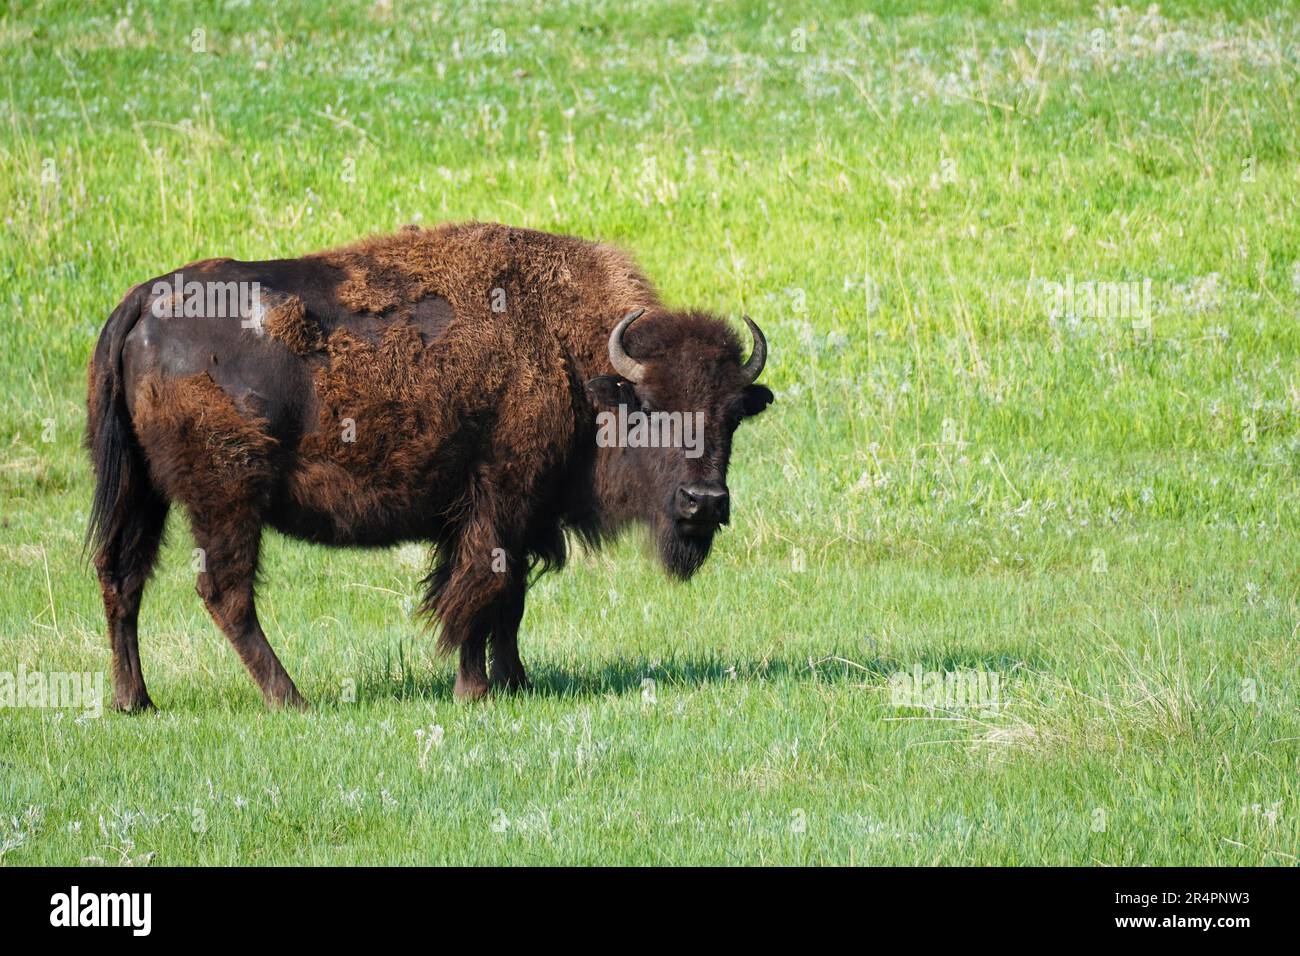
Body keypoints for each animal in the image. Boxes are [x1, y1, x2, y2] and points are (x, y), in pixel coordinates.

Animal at [89, 223, 769, 712]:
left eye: (733, 414)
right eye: (651, 408)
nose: (704, 502)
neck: (572, 361)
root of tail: (144, 302)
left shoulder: (519, 519)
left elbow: (509, 602)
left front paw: (516, 683)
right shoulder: (497, 505)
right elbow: (478, 593)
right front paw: (475, 690)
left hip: (142, 492)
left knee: (123, 577)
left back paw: (135, 701)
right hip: (227, 498)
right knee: (225, 593)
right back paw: (291, 700)